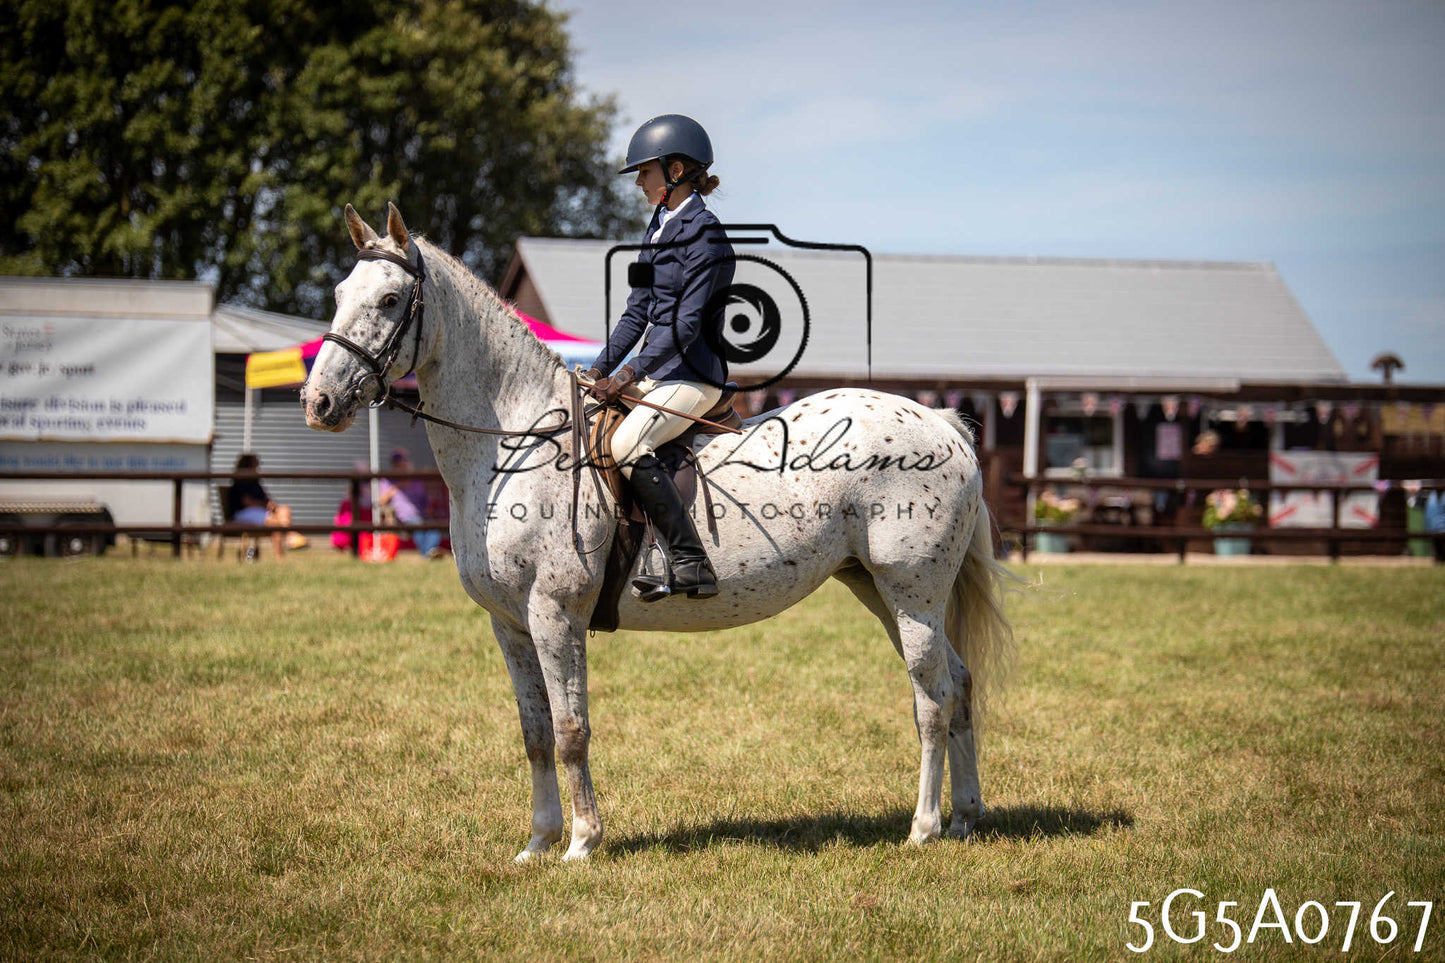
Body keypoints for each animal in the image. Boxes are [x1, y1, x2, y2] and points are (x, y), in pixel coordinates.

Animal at [302, 202, 1017, 862]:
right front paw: (537, 843)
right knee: (957, 685)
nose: (319, 403)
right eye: (338, 295)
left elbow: (571, 730)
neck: (514, 440)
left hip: (912, 592)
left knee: (931, 698)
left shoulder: (554, 613)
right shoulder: (509, 624)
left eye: (390, 300)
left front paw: (581, 844)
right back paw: (965, 817)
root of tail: (937, 420)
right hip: (877, 589)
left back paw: (923, 828)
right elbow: (535, 734)